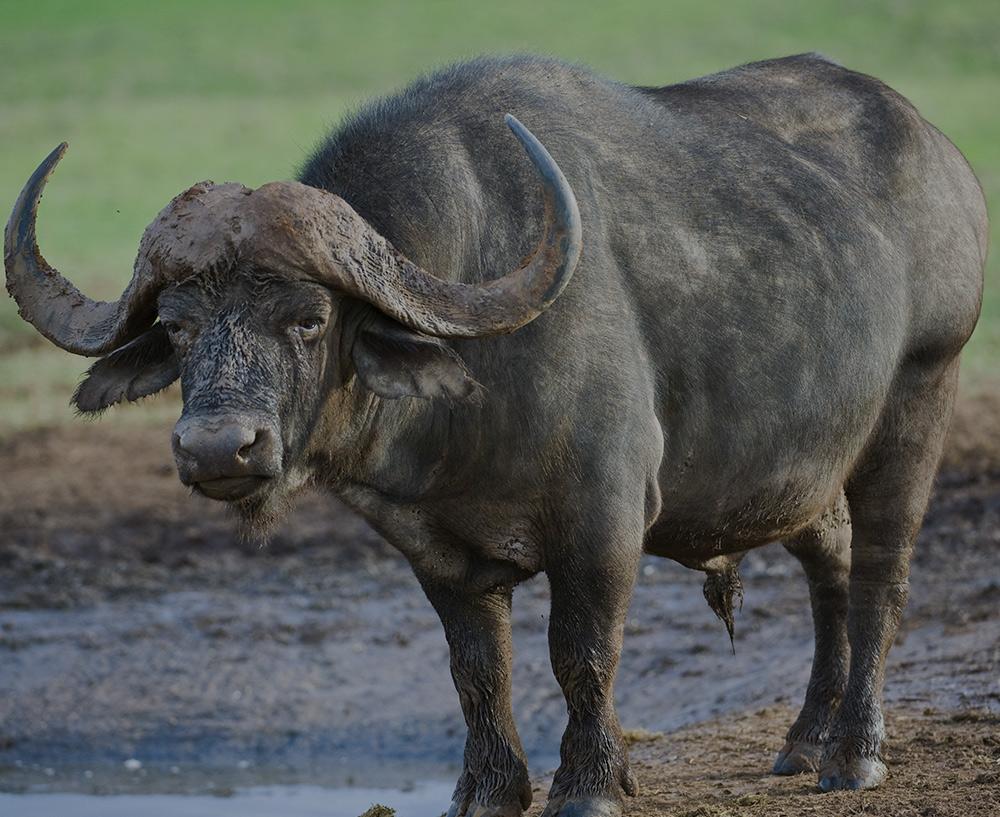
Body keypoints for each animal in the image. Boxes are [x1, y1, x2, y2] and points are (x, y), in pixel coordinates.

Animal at [5, 54, 986, 816]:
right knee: (831, 567)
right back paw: (803, 739)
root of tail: (944, 157)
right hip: (803, 466)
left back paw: (853, 754)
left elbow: (582, 653)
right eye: (175, 328)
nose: (218, 449)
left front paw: (590, 784)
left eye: (309, 319)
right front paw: (487, 789)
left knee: (882, 575)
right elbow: (477, 668)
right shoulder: (435, 551)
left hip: (920, 395)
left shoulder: (603, 521)